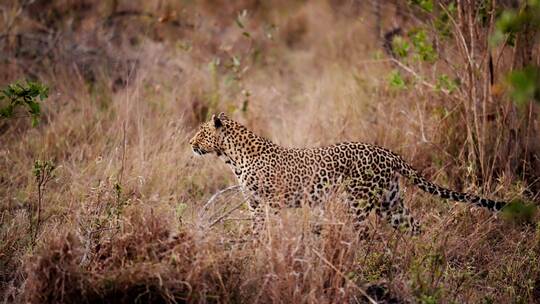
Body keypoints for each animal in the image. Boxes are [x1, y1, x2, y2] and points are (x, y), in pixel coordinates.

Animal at [190, 114, 506, 235]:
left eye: (200, 133)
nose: (190, 143)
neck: (232, 157)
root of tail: (388, 153)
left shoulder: (269, 203)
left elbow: (264, 229)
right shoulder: (256, 203)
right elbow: (257, 229)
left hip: (358, 201)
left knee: (362, 235)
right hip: (391, 203)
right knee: (415, 228)